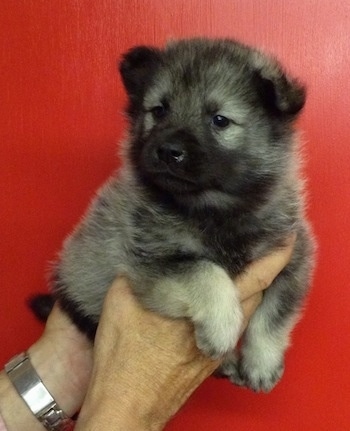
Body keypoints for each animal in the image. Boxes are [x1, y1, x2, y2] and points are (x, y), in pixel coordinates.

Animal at [34, 38, 316, 394]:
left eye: (219, 120)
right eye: (159, 110)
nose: (168, 151)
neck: (212, 207)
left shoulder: (292, 258)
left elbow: (273, 316)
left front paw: (261, 363)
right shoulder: (153, 260)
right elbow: (206, 272)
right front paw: (222, 326)